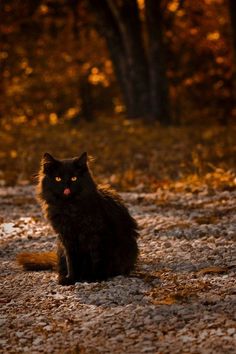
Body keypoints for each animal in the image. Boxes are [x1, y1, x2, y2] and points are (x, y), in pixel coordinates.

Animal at [17, 152, 139, 284]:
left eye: (74, 178)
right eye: (58, 179)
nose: (66, 188)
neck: (70, 209)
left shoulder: (97, 235)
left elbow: (97, 258)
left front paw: (96, 277)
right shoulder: (67, 238)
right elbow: (72, 262)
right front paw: (71, 279)